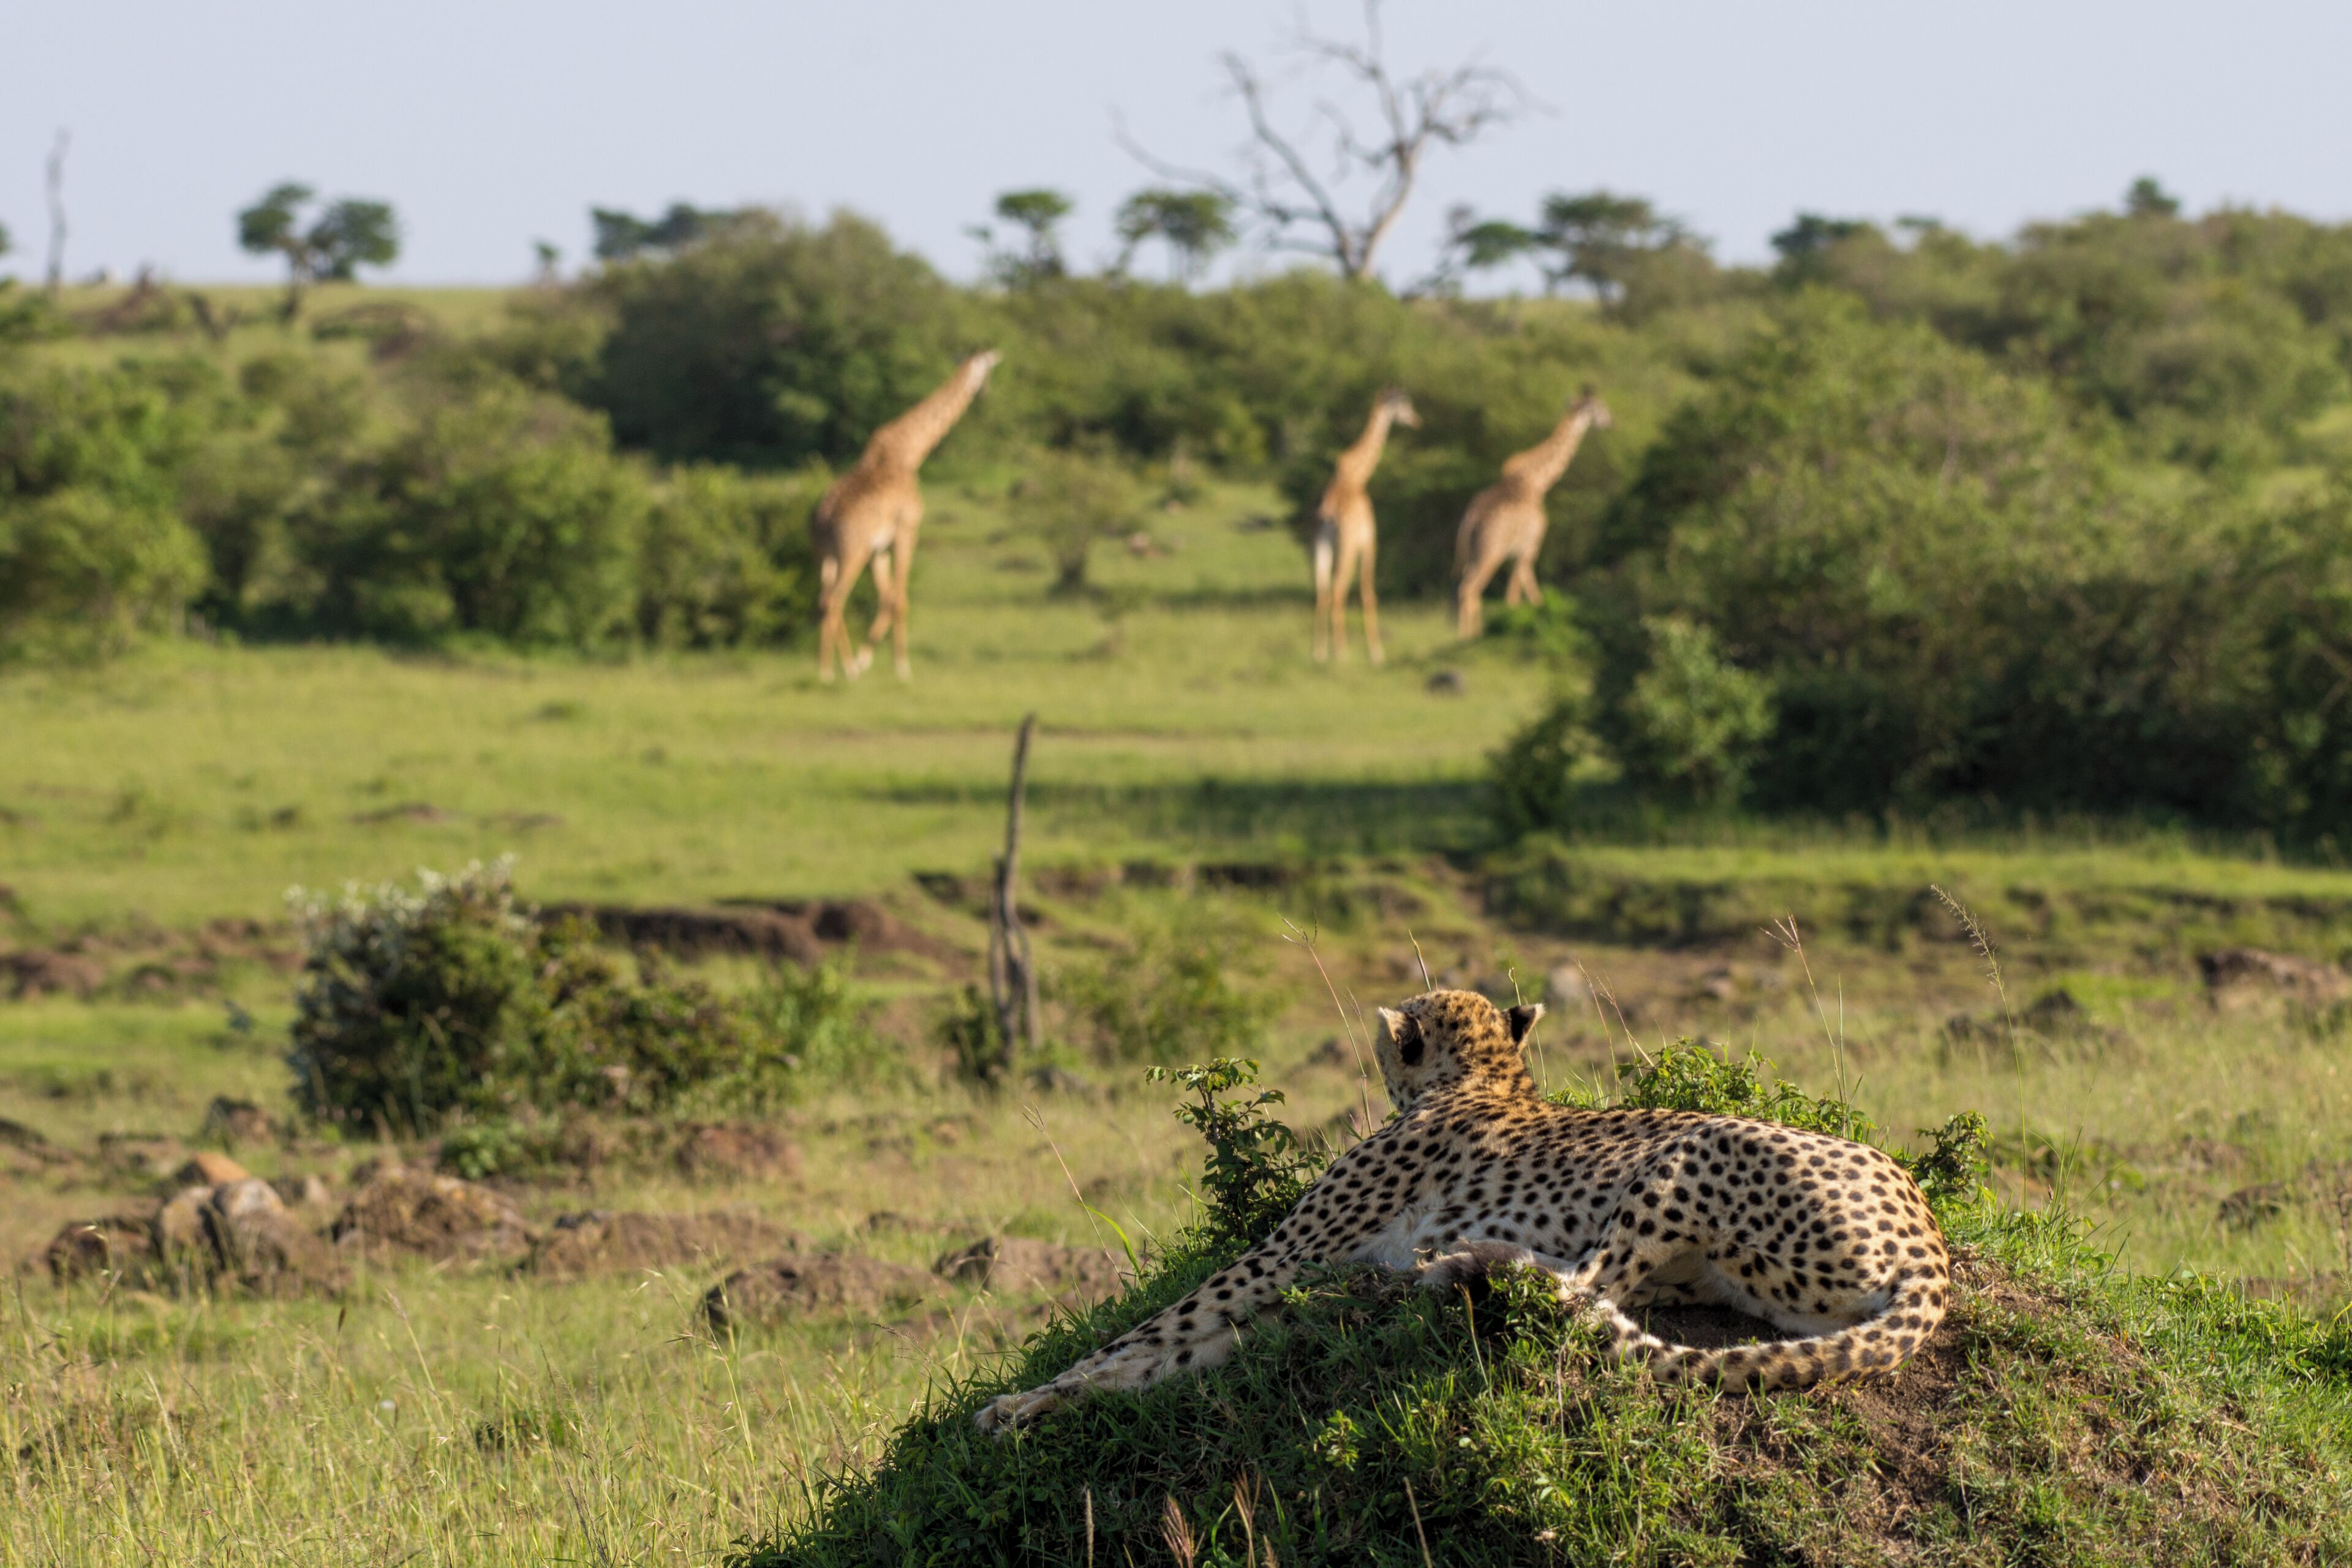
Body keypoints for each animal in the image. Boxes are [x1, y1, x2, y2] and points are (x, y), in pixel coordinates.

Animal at [812, 350, 1001, 681]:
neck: (909, 452)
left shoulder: (880, 548)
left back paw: (831, 669)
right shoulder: (907, 530)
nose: (987, 393)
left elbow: (886, 599)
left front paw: (866, 658)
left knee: (824, 600)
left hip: (826, 554)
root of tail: (823, 516)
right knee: (836, 600)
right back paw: (841, 671)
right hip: (852, 551)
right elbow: (899, 600)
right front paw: (902, 668)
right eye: (986, 371)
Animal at [977, 987, 1949, 1434]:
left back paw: (1456, 1269)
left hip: (1695, 1145)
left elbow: (1153, 1327)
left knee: (1579, 1295)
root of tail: (1931, 1244)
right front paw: (1053, 1404)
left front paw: (1020, 1401)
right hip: (1728, 1275)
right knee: (1611, 1295)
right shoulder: (1293, 1284)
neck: (1487, 1075)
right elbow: (1176, 1351)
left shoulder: (1280, 1258)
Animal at [1311, 386, 1420, 664]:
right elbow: (1370, 594)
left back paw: (1319, 653)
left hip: (1319, 547)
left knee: (1322, 592)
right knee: (1339, 592)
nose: (1417, 421)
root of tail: (1329, 514)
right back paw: (1341, 654)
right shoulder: (1370, 542)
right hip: (1348, 547)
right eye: (1404, 405)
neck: (1356, 477)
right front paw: (1377, 654)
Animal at [1454, 389, 1612, 639]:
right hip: (1492, 553)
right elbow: (1519, 591)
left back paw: (1467, 634)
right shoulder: (1531, 543)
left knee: (1466, 587)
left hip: (1474, 554)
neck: (1538, 480)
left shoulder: (1521, 549)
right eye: (1600, 408)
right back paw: (1470, 637)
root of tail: (1471, 519)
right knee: (1471, 588)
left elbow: (1524, 588)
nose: (1611, 422)